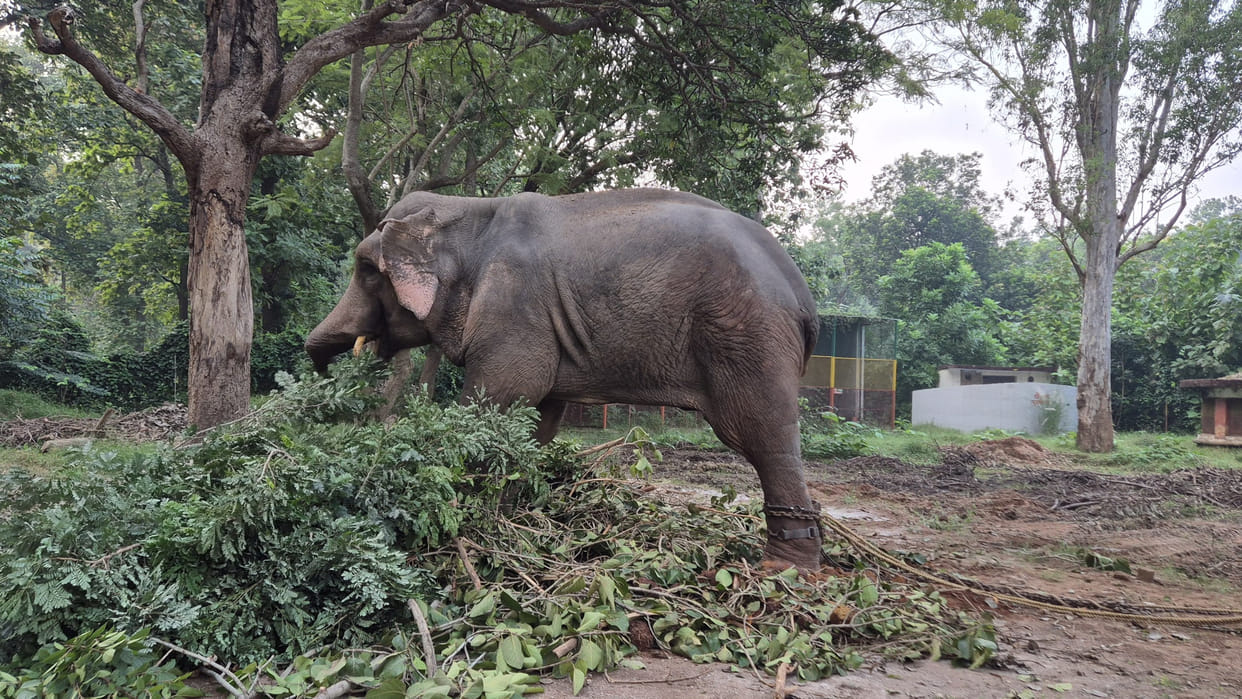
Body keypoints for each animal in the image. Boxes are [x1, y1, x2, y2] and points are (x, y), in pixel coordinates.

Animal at [306, 188, 824, 570]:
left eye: (366, 270)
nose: (324, 372)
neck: (470, 209)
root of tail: (801, 290)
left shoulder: (514, 304)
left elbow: (500, 395)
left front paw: (464, 518)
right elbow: (537, 416)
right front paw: (513, 515)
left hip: (748, 335)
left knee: (763, 435)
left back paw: (783, 569)